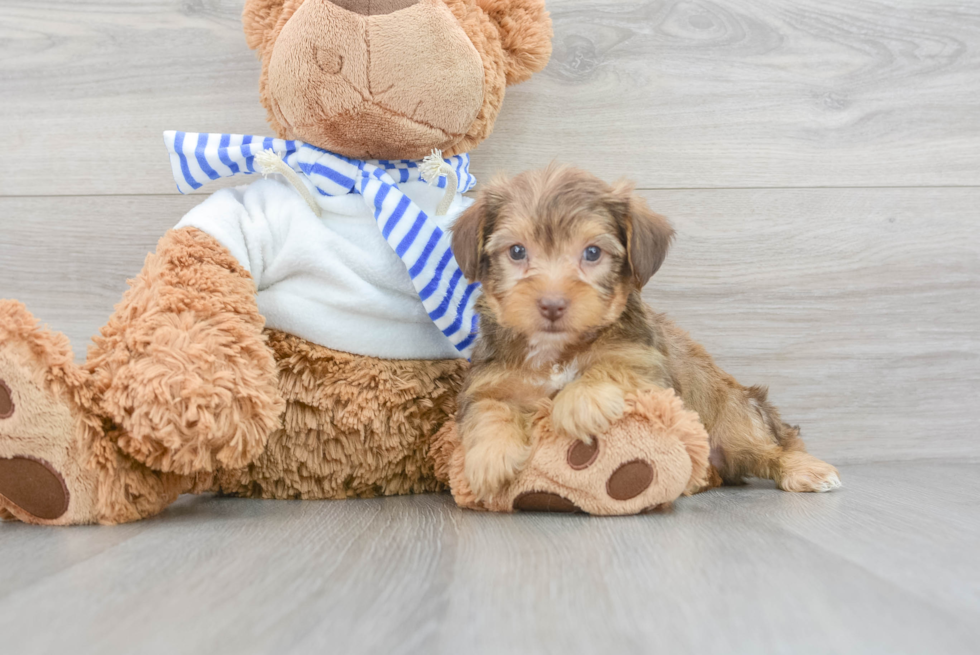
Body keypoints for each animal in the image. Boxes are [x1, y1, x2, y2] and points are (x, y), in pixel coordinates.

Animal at [452, 164, 844, 502]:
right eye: (517, 251)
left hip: (736, 420)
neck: (555, 351)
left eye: (592, 252)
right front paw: (490, 456)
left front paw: (580, 401)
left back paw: (805, 469)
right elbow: (487, 408)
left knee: (771, 448)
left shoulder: (648, 368)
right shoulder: (489, 379)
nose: (551, 305)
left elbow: (612, 366)